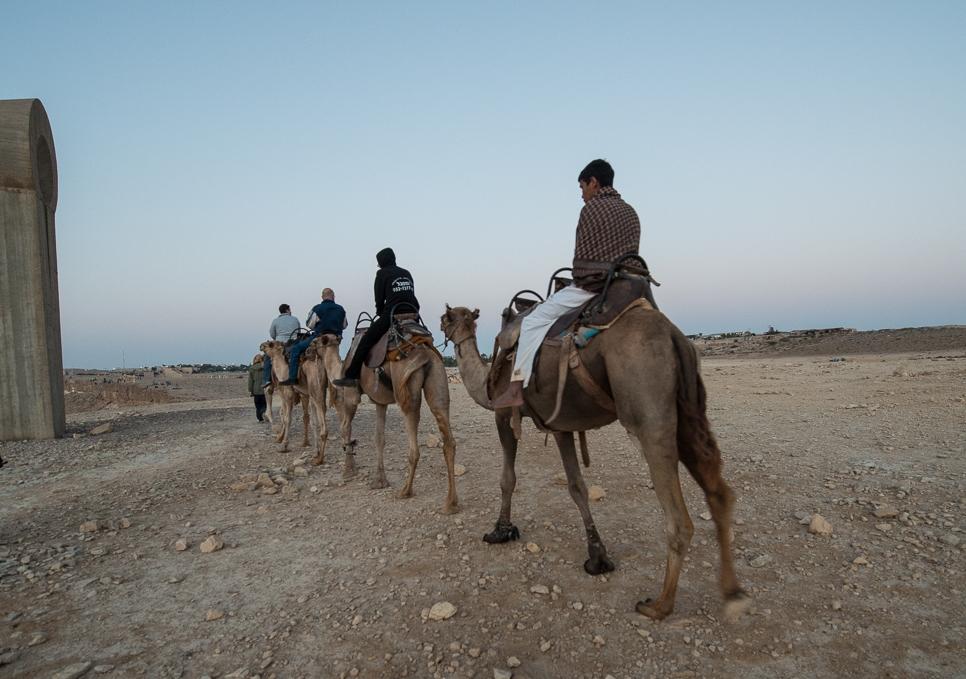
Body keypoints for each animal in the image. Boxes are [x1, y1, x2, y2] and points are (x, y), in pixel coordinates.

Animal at [260, 338, 354, 470]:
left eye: (270, 344)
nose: (261, 346)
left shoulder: (289, 393)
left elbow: (287, 418)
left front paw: (284, 445)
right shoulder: (308, 395)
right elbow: (313, 422)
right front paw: (315, 451)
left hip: (317, 390)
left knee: (325, 424)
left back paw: (321, 460)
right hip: (334, 391)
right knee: (343, 420)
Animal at [340, 326, 462, 512]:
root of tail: (424, 354)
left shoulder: (351, 395)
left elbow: (346, 426)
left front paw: (348, 471)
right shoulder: (380, 401)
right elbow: (379, 438)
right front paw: (380, 481)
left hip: (405, 389)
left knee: (414, 447)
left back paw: (405, 491)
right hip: (437, 379)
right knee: (448, 440)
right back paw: (450, 503)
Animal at [442, 304, 752, 620]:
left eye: (446, 319)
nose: (436, 329)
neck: (488, 380)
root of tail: (674, 336)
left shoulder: (504, 414)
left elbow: (508, 479)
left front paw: (500, 531)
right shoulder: (560, 425)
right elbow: (577, 486)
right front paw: (597, 557)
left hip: (648, 411)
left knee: (678, 518)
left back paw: (659, 605)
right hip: (689, 409)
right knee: (719, 492)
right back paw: (733, 593)